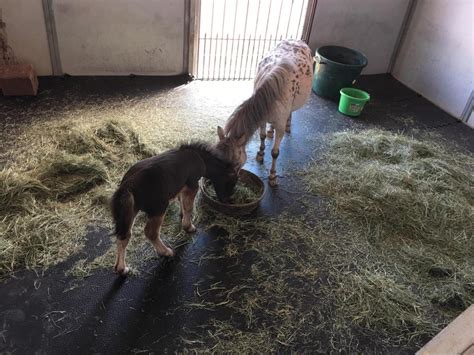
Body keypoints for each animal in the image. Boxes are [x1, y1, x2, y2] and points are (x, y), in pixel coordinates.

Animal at [110, 142, 237, 276]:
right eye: (231, 182)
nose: (227, 201)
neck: (200, 158)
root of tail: (128, 186)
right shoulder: (192, 184)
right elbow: (189, 207)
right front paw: (189, 226)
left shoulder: (182, 186)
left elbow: (182, 201)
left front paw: (182, 215)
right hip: (158, 208)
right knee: (150, 232)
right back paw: (166, 252)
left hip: (129, 212)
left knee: (124, 236)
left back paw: (122, 268)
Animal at [216, 40, 312, 186]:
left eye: (236, 163)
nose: (228, 184)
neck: (272, 93)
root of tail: (298, 41)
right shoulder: (262, 119)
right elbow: (262, 136)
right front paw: (260, 153)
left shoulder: (280, 126)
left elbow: (275, 152)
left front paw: (272, 176)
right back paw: (271, 131)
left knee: (290, 113)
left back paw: (288, 125)